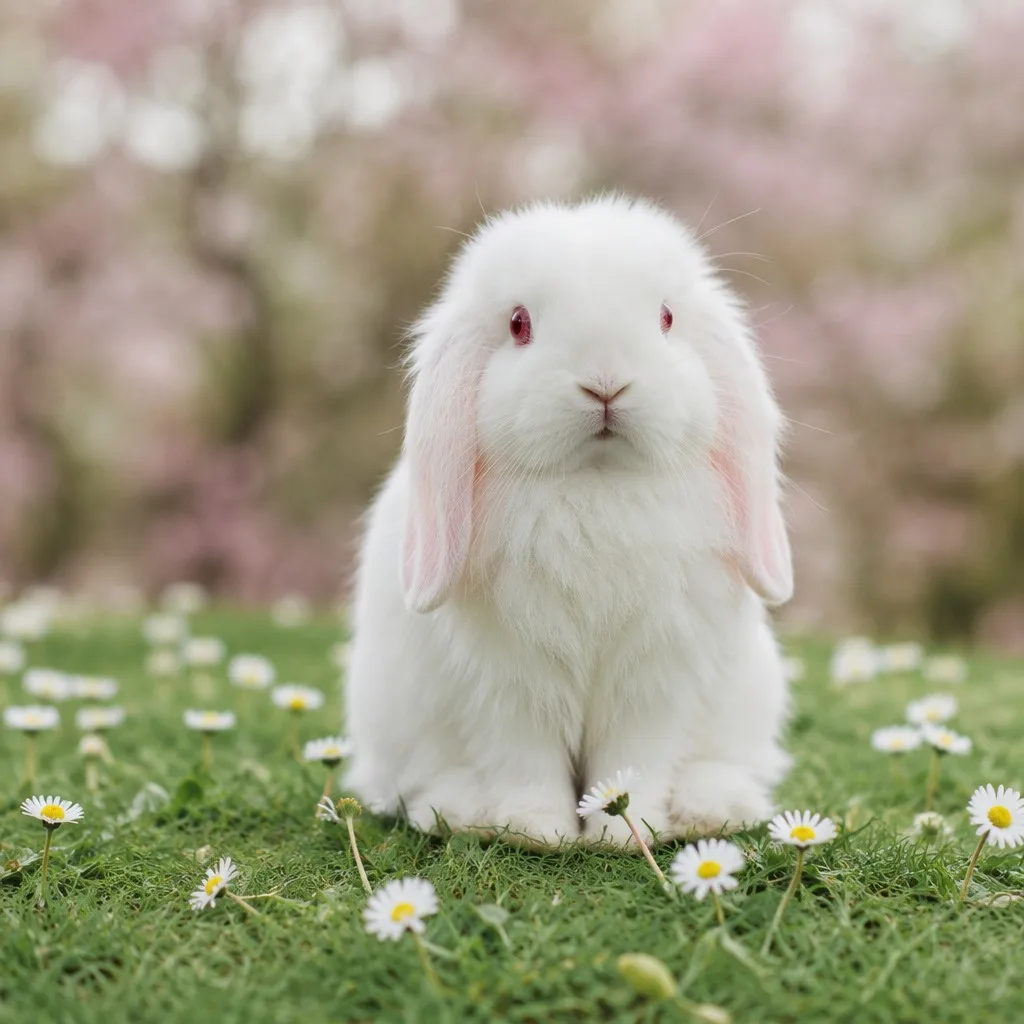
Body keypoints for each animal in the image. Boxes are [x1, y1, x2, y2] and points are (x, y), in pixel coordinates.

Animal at [344, 195, 793, 848]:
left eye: (666, 318)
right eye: (518, 324)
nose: (605, 383)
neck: (594, 483)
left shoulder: (652, 680)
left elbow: (634, 761)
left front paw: (625, 836)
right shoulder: (509, 686)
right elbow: (524, 762)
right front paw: (538, 832)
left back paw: (712, 809)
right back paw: (459, 812)